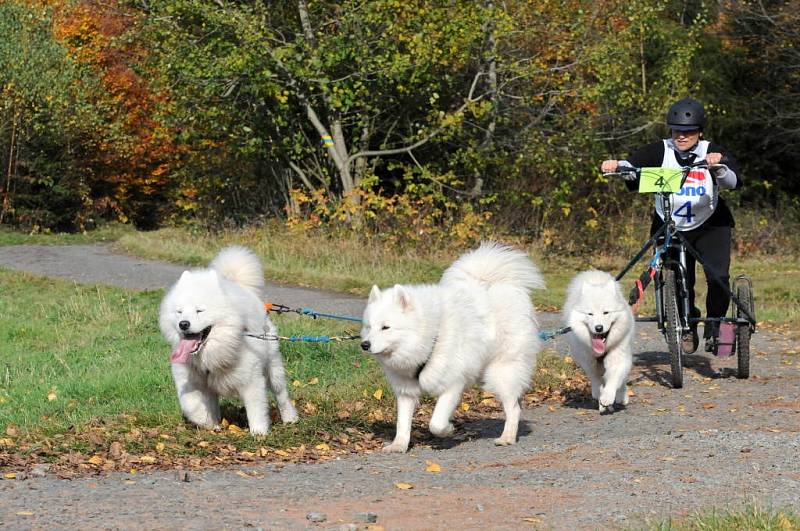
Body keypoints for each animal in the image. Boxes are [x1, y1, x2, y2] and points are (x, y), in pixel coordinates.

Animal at [161, 247, 298, 434]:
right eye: (179, 312)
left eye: (199, 310)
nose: (183, 324)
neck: (213, 353)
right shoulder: (191, 381)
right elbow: (192, 406)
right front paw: (208, 423)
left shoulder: (251, 380)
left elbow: (256, 410)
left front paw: (259, 433)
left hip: (273, 367)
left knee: (281, 394)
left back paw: (290, 418)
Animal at [360, 242, 544, 454]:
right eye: (369, 327)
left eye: (386, 327)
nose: (365, 344)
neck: (432, 336)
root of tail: (499, 285)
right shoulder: (406, 391)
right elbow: (402, 423)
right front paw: (399, 445)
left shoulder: (452, 384)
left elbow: (436, 423)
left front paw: (448, 430)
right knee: (516, 401)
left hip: (501, 372)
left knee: (513, 407)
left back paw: (507, 437)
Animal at [564, 272, 636, 414]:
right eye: (590, 314)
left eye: (606, 312)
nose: (599, 328)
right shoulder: (587, 361)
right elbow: (596, 380)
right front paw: (600, 396)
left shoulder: (618, 357)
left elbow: (614, 379)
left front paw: (607, 397)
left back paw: (621, 397)